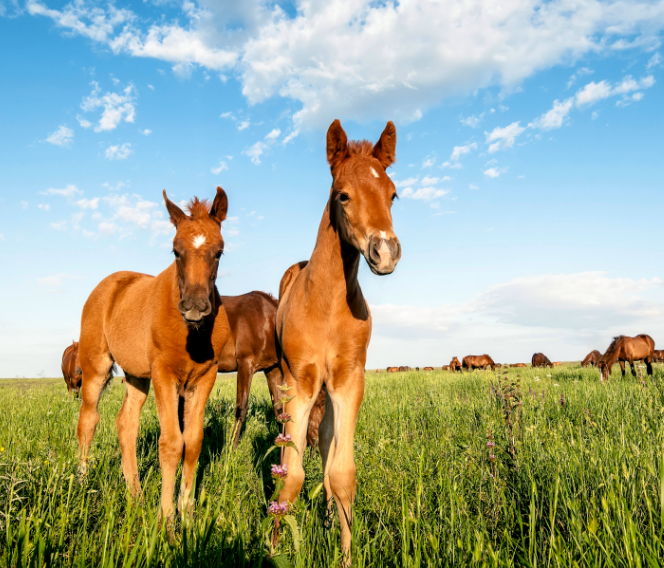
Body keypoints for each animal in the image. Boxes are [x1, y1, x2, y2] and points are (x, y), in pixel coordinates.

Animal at [76, 187, 231, 527]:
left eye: (219, 252)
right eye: (175, 251)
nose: (195, 306)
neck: (192, 335)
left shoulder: (205, 377)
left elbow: (193, 442)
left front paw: (187, 515)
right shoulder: (164, 375)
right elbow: (171, 443)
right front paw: (167, 520)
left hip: (136, 376)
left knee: (126, 424)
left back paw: (135, 495)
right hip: (96, 366)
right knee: (88, 420)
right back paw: (79, 482)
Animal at [274, 119, 401, 559]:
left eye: (393, 194)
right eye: (342, 195)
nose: (386, 252)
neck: (326, 304)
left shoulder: (348, 380)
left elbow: (341, 473)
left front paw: (345, 552)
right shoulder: (299, 383)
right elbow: (290, 476)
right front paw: (275, 549)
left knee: (327, 446)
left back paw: (329, 519)